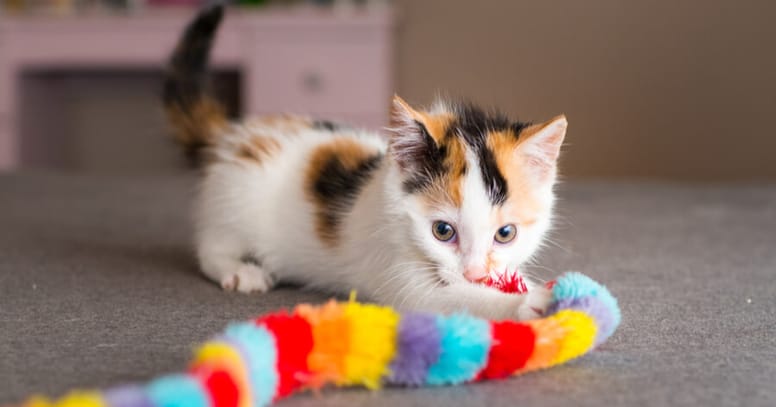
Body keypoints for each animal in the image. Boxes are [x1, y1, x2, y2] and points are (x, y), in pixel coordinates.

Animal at [164, 4, 568, 320]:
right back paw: (239, 270)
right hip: (235, 202)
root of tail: (235, 132)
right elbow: (450, 298)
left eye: (506, 234)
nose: (475, 274)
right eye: (442, 231)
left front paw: (532, 288)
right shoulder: (397, 273)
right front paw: (529, 303)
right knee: (211, 247)